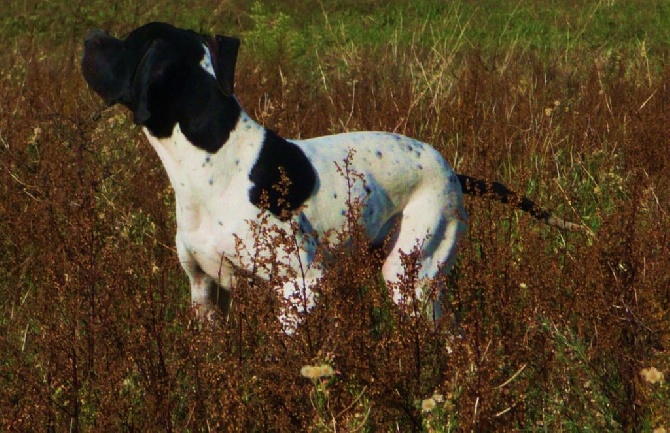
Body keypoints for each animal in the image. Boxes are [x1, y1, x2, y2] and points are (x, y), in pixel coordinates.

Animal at [81, 22, 588, 328]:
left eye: (125, 44)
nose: (88, 37)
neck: (215, 160)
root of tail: (451, 170)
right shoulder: (205, 294)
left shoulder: (300, 287)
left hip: (411, 279)